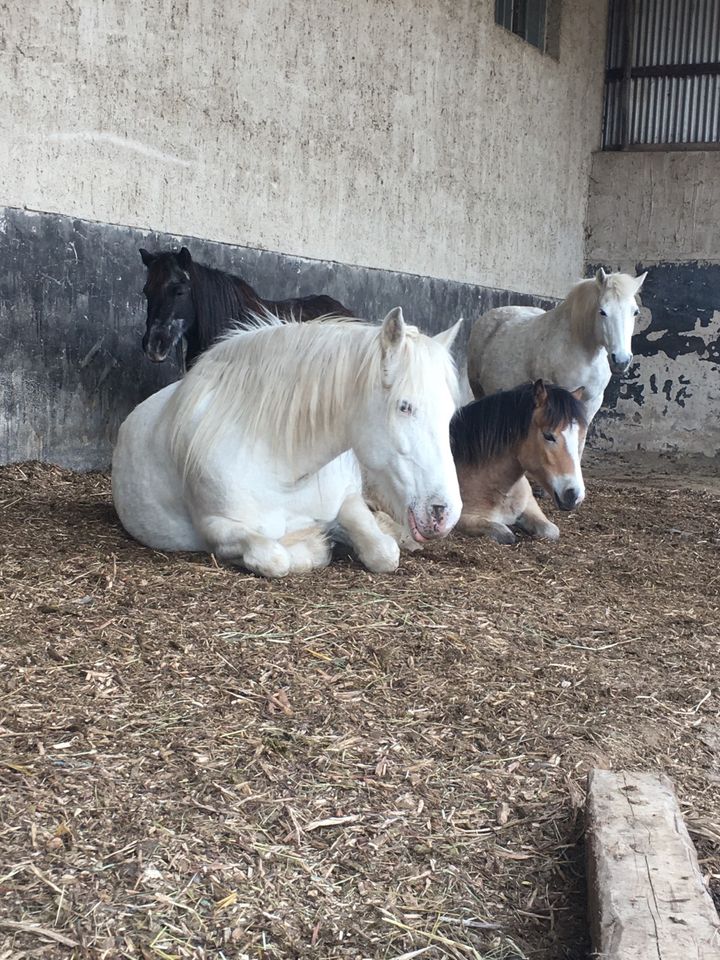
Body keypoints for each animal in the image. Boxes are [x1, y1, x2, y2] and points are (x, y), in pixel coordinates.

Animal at [112, 308, 462, 576]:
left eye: (449, 413)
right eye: (404, 406)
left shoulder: (348, 499)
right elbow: (276, 557)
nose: (444, 512)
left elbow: (383, 551)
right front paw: (315, 542)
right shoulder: (215, 527)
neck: (286, 468)